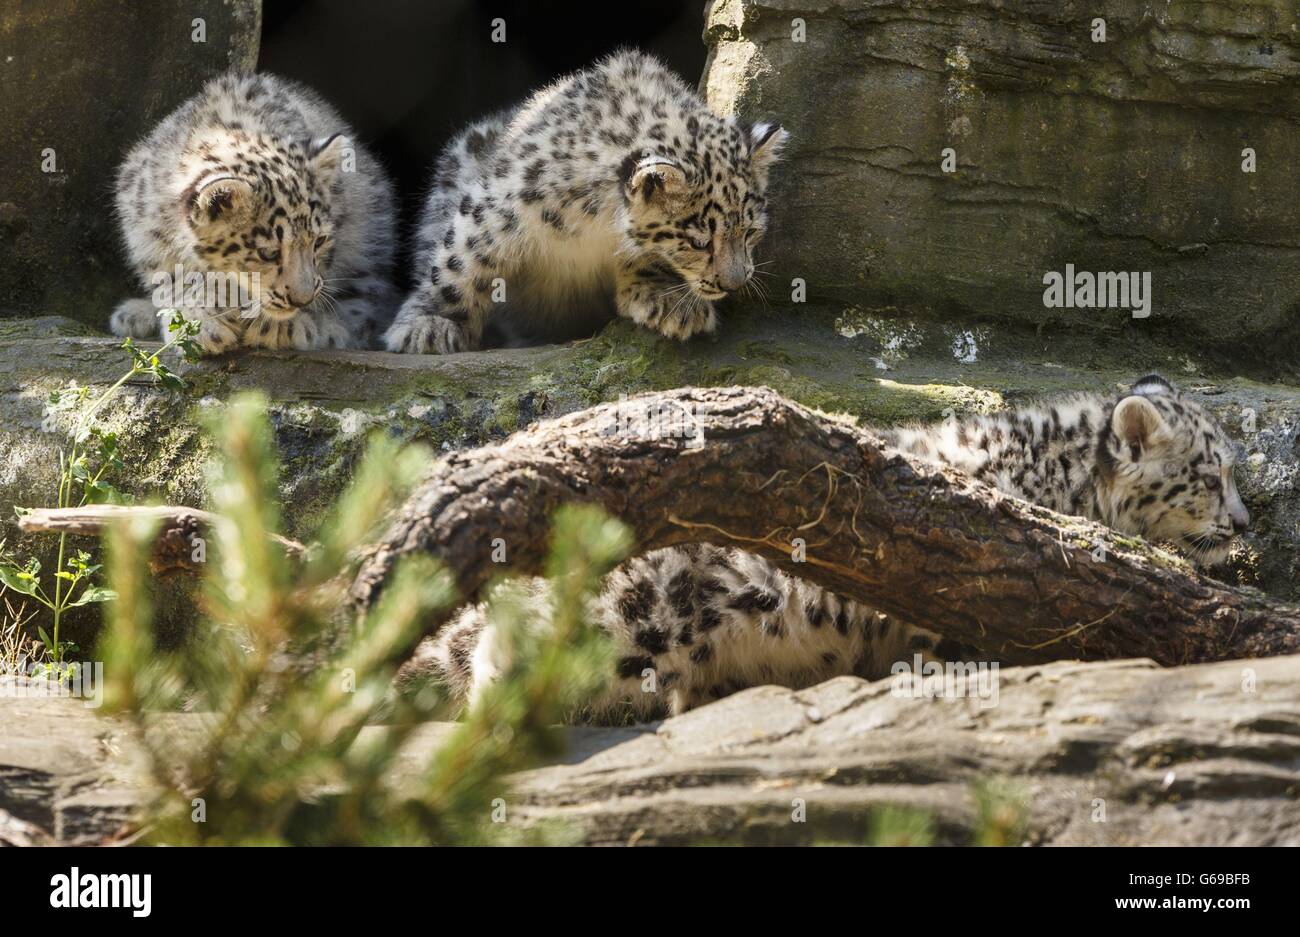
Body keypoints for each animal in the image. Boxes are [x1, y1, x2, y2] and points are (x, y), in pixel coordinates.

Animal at [110, 72, 398, 355]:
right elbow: (172, 276)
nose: (302, 299)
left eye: (319, 241)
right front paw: (201, 321)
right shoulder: (145, 228)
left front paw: (277, 325)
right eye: (268, 252)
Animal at [384, 49, 788, 354]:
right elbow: (461, 259)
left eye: (751, 231)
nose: (735, 283)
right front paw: (430, 323)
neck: (598, 222)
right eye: (700, 242)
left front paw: (667, 300)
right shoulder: (500, 203)